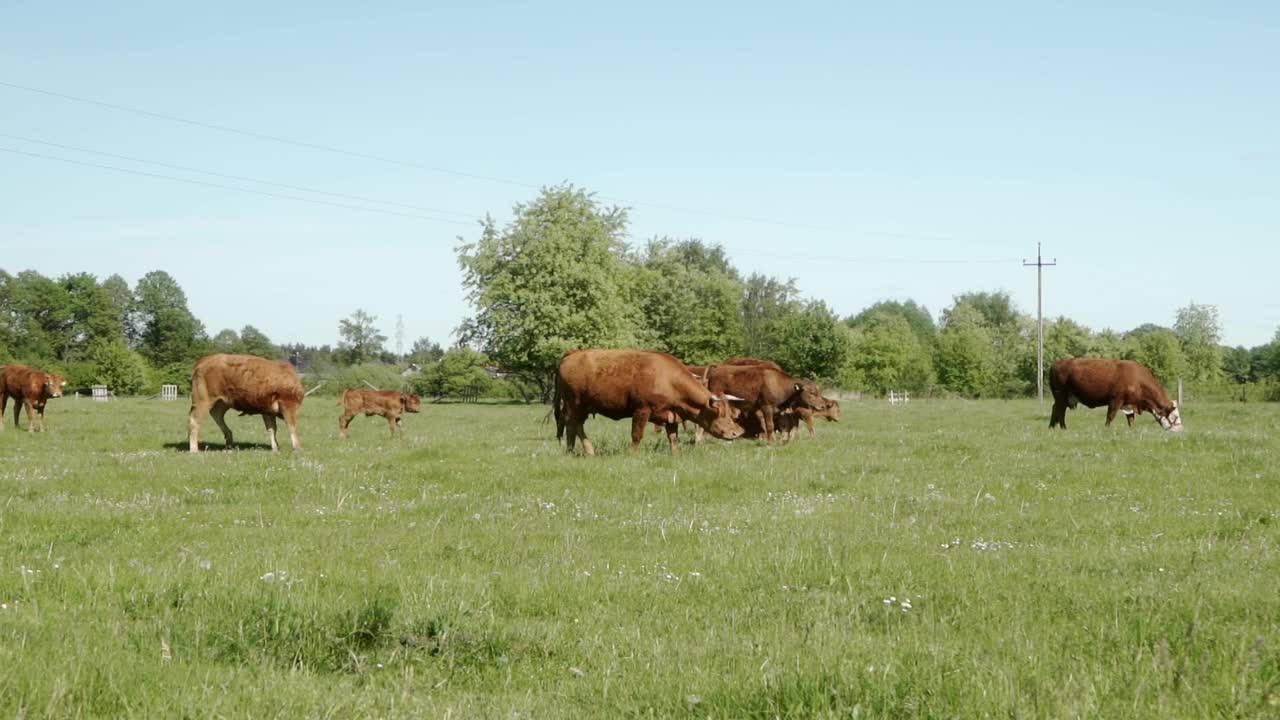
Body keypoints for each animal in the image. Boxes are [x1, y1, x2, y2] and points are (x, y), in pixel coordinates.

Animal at [555, 348, 747, 453]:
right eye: (719, 413)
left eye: (731, 413)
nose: (736, 433)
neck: (669, 379)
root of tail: (573, 353)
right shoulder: (641, 410)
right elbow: (636, 436)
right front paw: (633, 455)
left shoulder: (671, 415)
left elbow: (673, 439)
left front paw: (675, 455)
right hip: (575, 404)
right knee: (574, 424)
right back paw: (588, 450)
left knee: (572, 426)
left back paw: (571, 450)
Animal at [701, 363, 829, 443]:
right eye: (812, 393)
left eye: (817, 392)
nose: (822, 406)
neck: (779, 384)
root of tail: (716, 369)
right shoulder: (767, 407)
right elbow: (770, 425)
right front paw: (771, 443)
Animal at [1044, 356, 1182, 427]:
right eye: (1174, 416)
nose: (1180, 430)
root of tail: (1057, 362)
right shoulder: (1116, 400)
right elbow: (1110, 416)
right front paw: (1107, 429)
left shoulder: (1129, 403)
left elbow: (1131, 419)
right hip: (1061, 395)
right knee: (1059, 410)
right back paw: (1062, 428)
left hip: (1063, 397)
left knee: (1056, 409)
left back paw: (1053, 427)